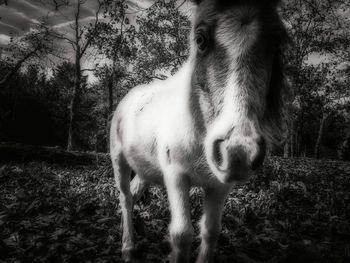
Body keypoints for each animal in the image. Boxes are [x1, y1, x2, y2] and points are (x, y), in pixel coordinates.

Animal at [110, 0, 288, 262]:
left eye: (276, 42)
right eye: (200, 39)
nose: (238, 151)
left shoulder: (220, 185)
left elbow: (211, 231)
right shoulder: (176, 177)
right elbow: (182, 235)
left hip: (145, 169)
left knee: (134, 192)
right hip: (119, 160)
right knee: (125, 198)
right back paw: (128, 248)